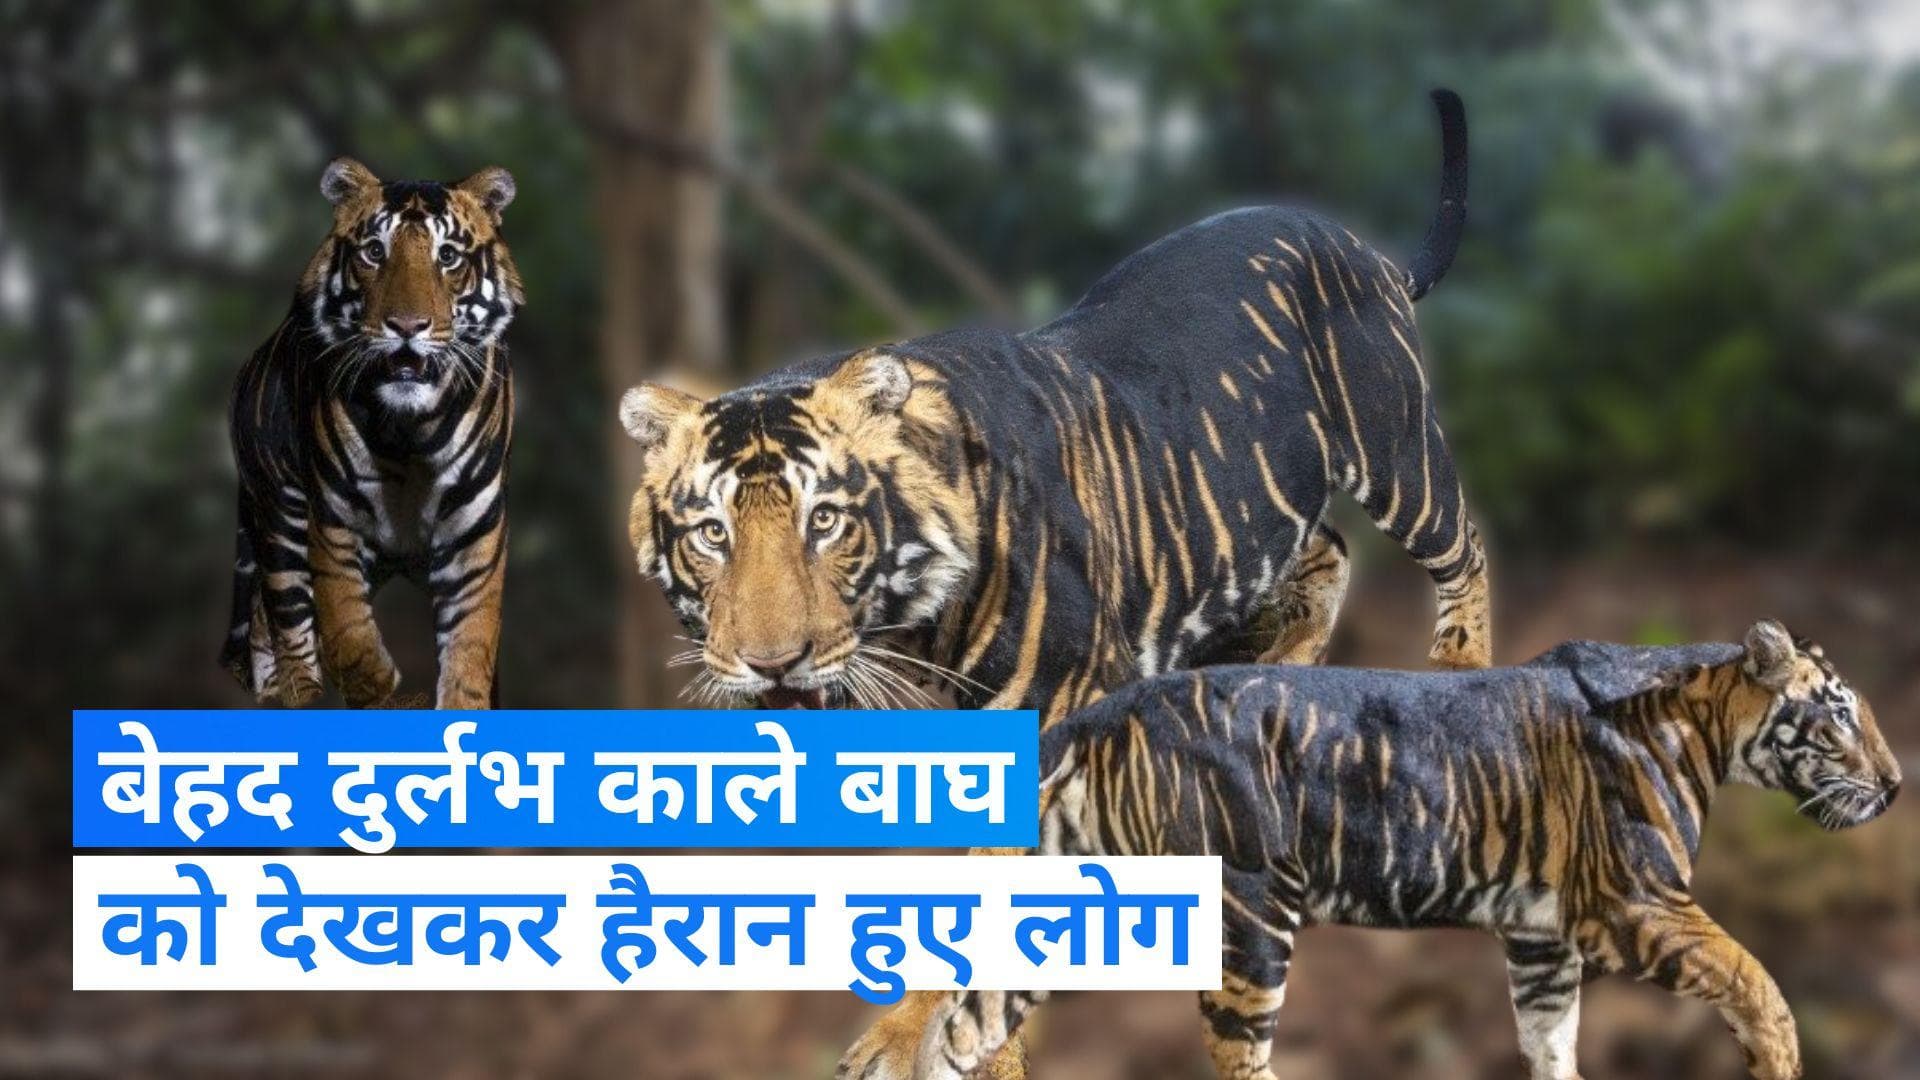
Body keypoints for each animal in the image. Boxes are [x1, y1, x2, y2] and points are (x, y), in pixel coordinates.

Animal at [219, 157, 522, 709]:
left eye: (447, 256)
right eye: (374, 252)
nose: (407, 326)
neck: (410, 432)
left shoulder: (475, 529)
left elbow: (471, 642)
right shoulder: (333, 517)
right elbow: (347, 631)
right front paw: (380, 687)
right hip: (280, 514)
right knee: (283, 618)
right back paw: (293, 693)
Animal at [623, 90, 1488, 1076]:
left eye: (827, 522)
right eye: (712, 534)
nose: (772, 662)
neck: (908, 640)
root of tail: (1353, 242)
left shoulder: (1053, 726)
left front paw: (911, 1039)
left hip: (1397, 451)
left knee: (1463, 550)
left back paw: (1460, 676)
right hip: (1258, 512)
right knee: (1329, 552)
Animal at [900, 620, 1902, 1080]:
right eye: (1839, 717)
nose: (1896, 787)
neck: (1703, 724)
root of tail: (1104, 709)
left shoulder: (1543, 940)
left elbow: (1552, 1041)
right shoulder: (1635, 903)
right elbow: (1760, 985)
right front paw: (1780, 1061)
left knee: (956, 1035)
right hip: (1246, 918)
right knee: (1236, 1055)